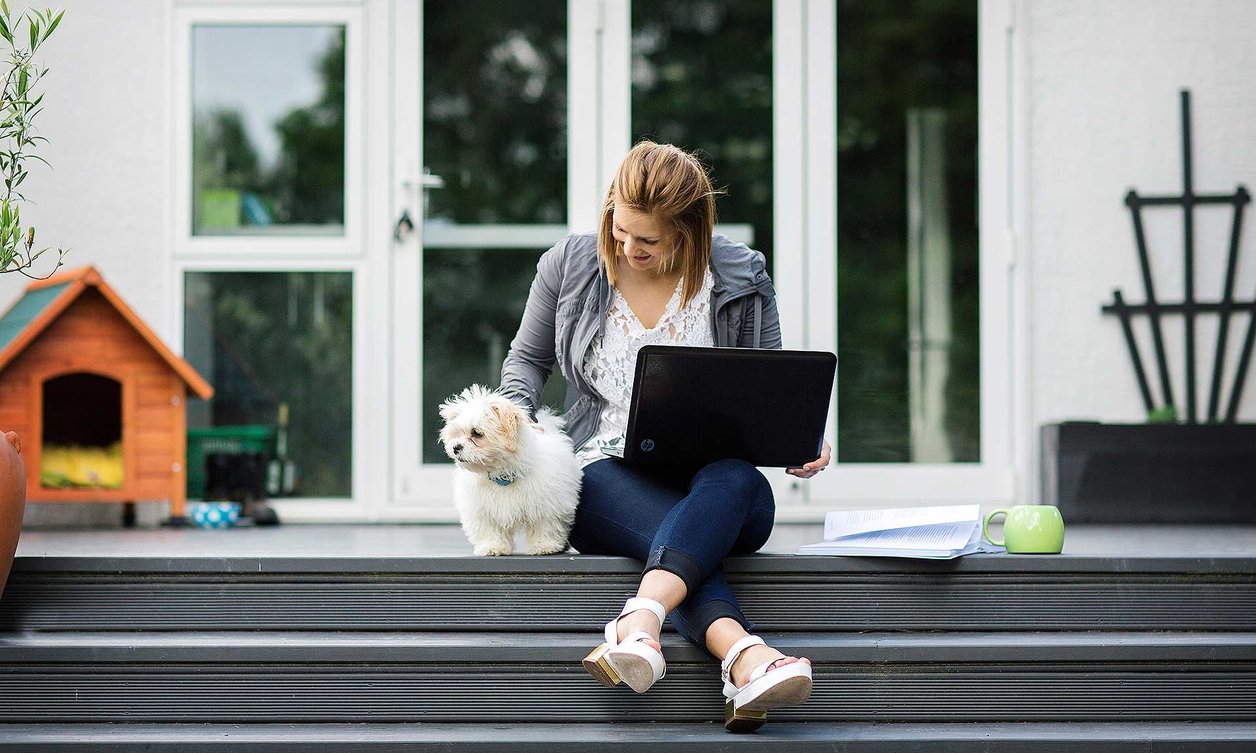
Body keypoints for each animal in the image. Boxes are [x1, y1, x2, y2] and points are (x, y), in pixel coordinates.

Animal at [439, 386, 580, 554]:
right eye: (457, 433)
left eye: (477, 433)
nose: (456, 447)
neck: (502, 473)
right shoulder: (482, 508)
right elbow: (489, 530)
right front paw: (492, 547)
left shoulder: (547, 504)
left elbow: (544, 525)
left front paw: (543, 545)